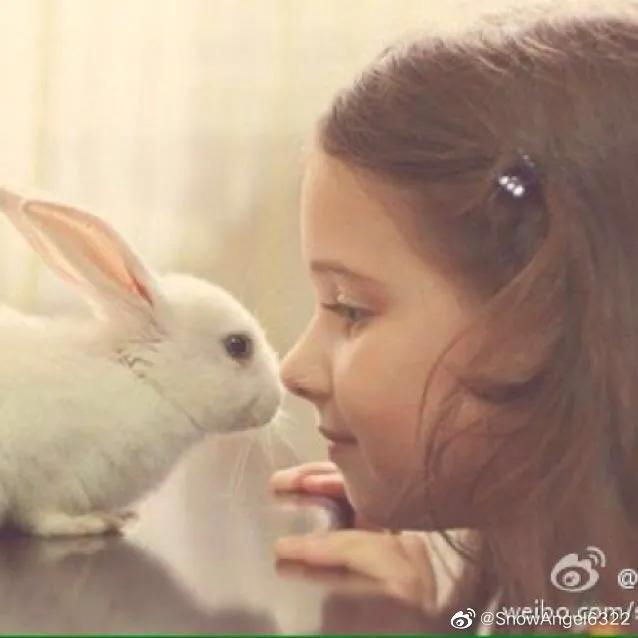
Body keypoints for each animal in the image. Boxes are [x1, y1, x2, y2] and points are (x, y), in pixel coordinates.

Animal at [0, 187, 284, 537]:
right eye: (238, 346)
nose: (276, 400)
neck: (146, 380)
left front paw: (122, 517)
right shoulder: (46, 476)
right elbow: (43, 516)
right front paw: (92, 522)